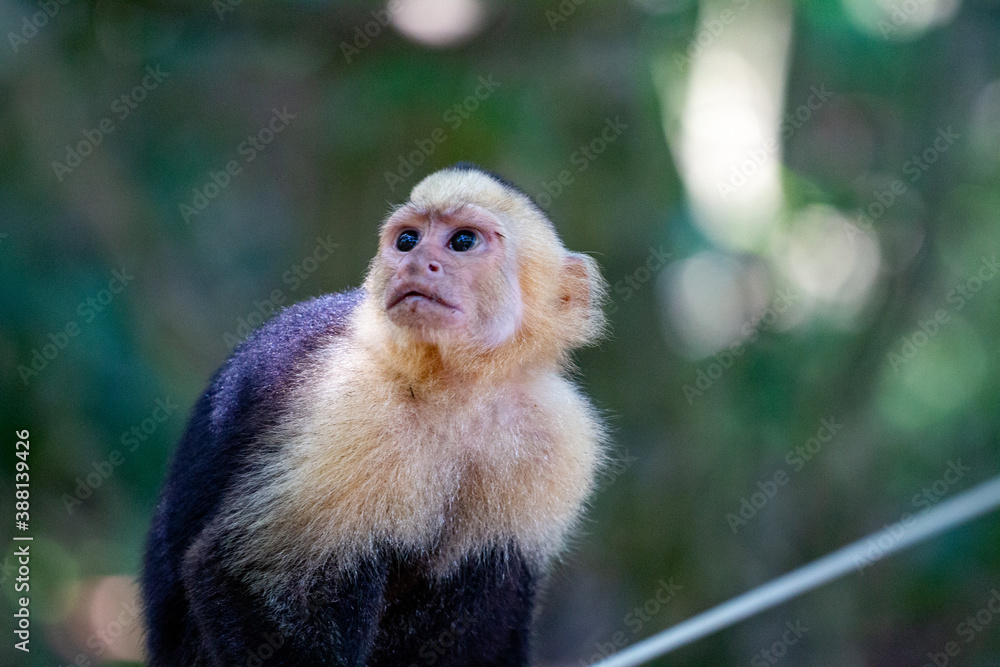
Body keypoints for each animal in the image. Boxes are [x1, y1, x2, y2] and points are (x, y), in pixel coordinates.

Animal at [141, 162, 608, 666]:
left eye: (463, 241)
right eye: (407, 240)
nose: (414, 263)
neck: (455, 388)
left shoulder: (558, 432)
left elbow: (493, 605)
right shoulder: (350, 402)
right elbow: (247, 577)